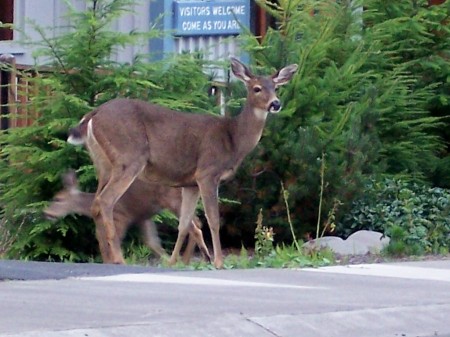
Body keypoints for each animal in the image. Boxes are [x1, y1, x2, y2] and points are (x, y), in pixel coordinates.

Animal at [44, 171, 209, 262]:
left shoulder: (120, 218)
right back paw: (185, 260)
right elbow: (152, 242)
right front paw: (164, 259)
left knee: (193, 224)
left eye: (58, 199)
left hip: (173, 200)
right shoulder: (143, 217)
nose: (45, 213)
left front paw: (117, 262)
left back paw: (190, 259)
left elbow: (110, 243)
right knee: (197, 222)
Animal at [67, 57, 298, 268]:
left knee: (95, 203)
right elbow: (213, 219)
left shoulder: (190, 183)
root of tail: (93, 115)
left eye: (276, 87)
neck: (233, 139)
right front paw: (218, 262)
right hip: (129, 157)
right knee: (106, 200)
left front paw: (172, 262)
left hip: (103, 164)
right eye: (257, 88)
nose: (275, 104)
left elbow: (185, 224)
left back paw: (109, 257)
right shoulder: (207, 172)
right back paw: (118, 258)